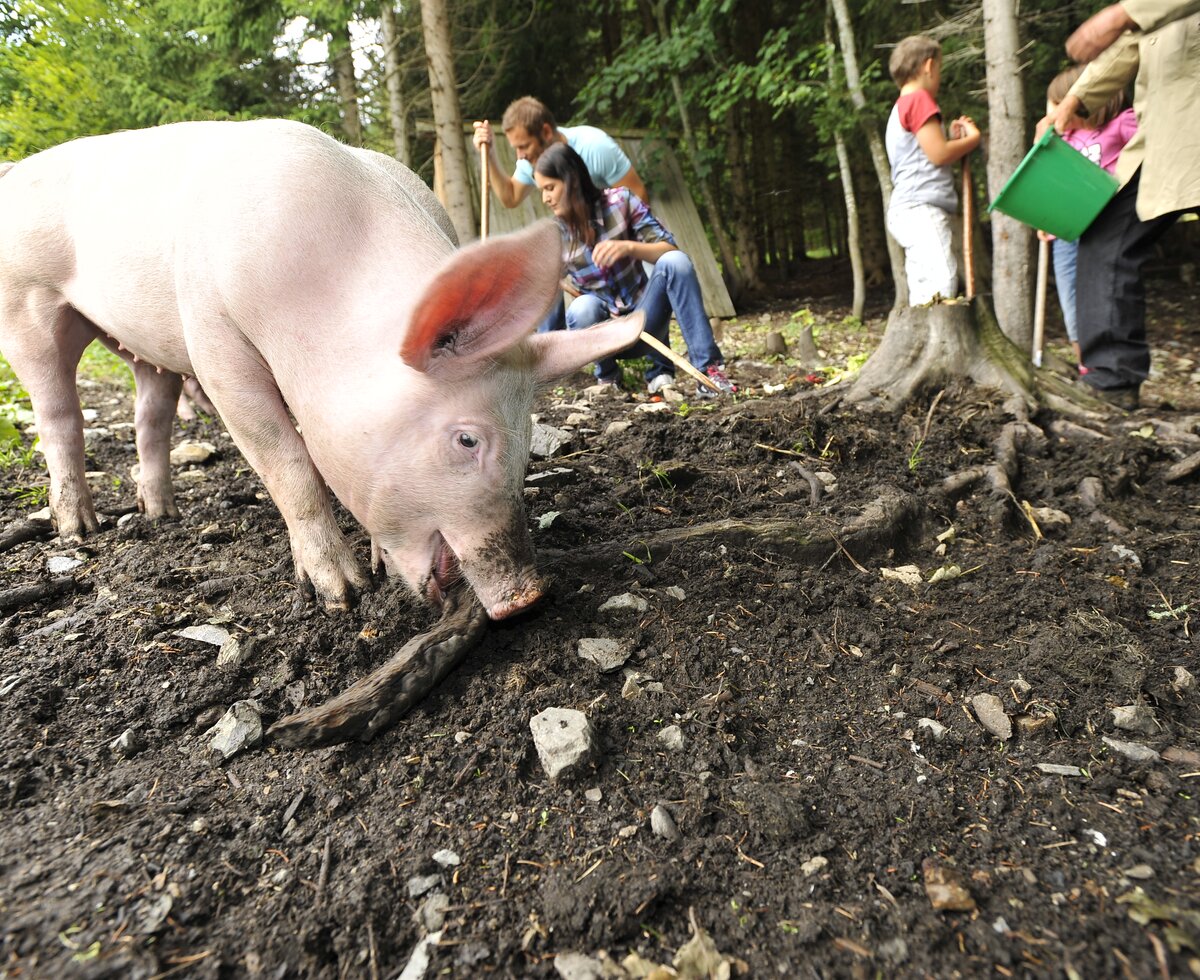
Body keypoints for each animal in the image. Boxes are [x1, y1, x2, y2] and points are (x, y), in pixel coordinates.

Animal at [0, 118, 648, 614]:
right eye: (467, 439)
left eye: (528, 438)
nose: (530, 596)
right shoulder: (215, 336)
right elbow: (288, 463)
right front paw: (343, 595)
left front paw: (374, 569)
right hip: (26, 304)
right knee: (59, 414)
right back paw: (79, 527)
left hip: (143, 351)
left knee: (148, 416)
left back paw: (161, 514)